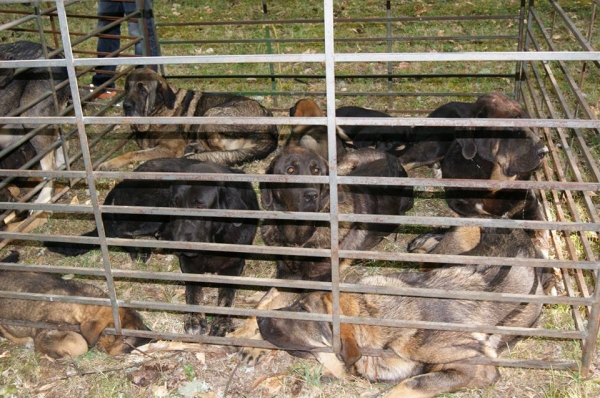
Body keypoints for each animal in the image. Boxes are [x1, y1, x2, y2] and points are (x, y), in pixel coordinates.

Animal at [96, 67, 278, 170]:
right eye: (128, 88)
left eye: (143, 90)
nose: (126, 105)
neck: (159, 111)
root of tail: (271, 132)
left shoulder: (168, 149)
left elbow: (132, 154)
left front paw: (110, 163)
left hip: (210, 115)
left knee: (218, 151)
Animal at [158, 162, 258, 336]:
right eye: (175, 204)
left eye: (199, 205)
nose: (179, 243)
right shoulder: (188, 262)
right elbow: (193, 290)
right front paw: (194, 318)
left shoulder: (234, 264)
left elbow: (226, 294)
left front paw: (222, 323)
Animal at [258, 227, 548, 398]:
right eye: (297, 303)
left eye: (302, 308)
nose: (259, 318)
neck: (376, 316)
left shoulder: (477, 368)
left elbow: (410, 384)